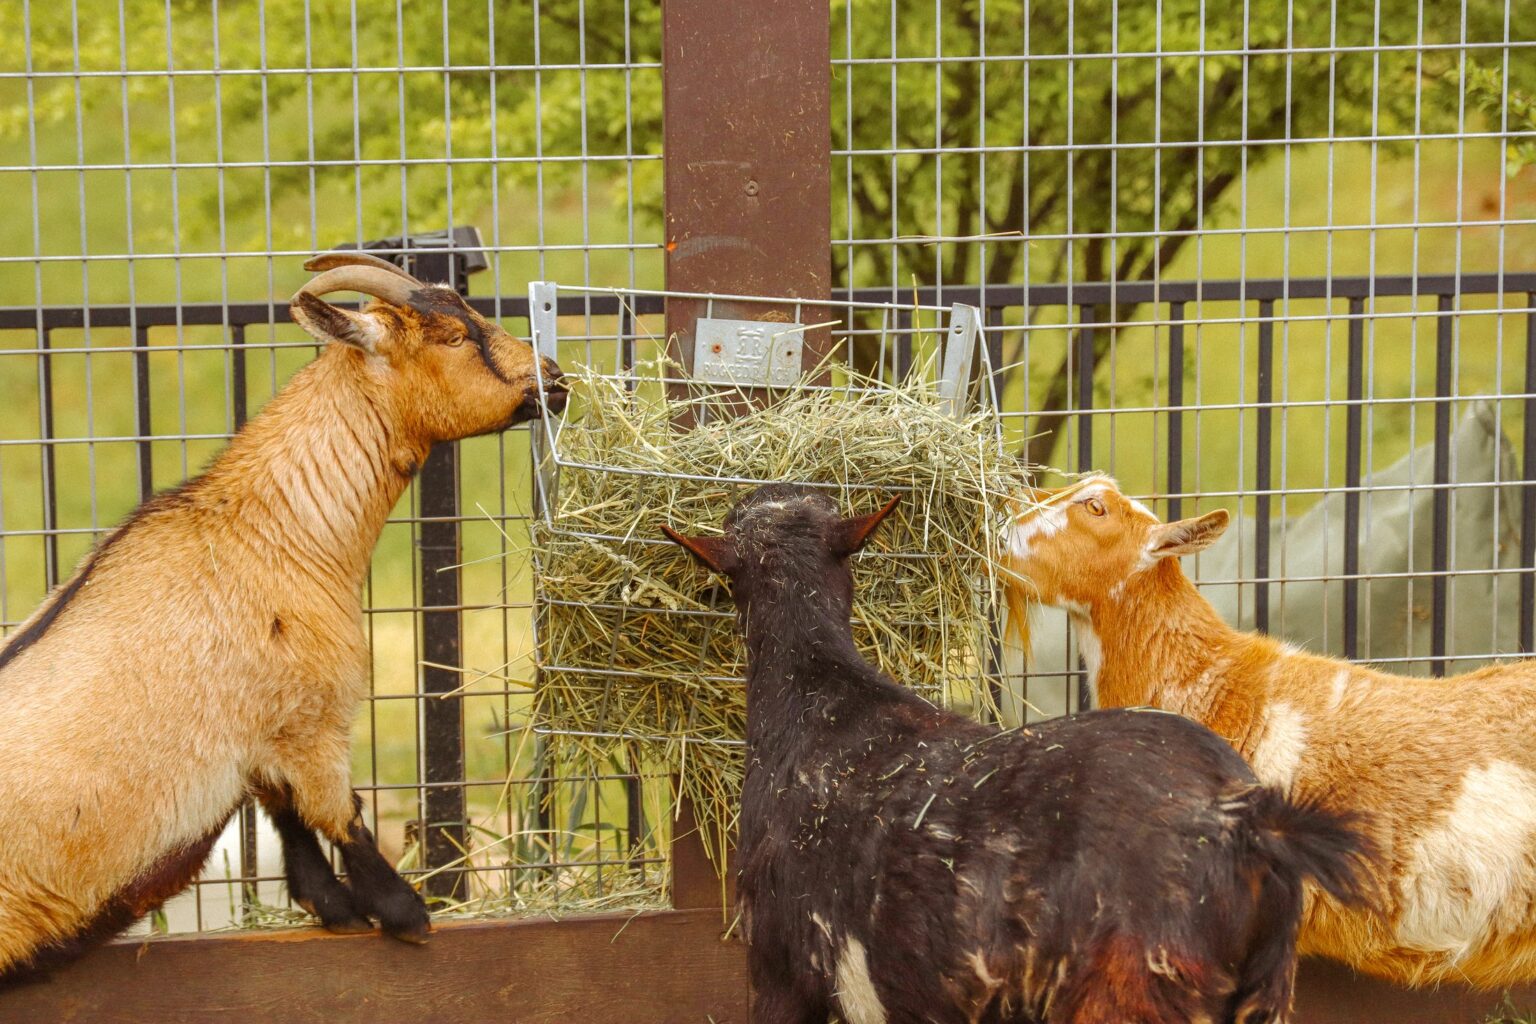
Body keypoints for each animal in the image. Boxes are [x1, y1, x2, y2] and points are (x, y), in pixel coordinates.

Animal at [0, 252, 567, 985]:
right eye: (451, 336)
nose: (554, 380)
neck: (273, 530)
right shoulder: (314, 719)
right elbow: (341, 812)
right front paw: (405, 914)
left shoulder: (267, 734)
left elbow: (285, 812)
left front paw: (333, 907)